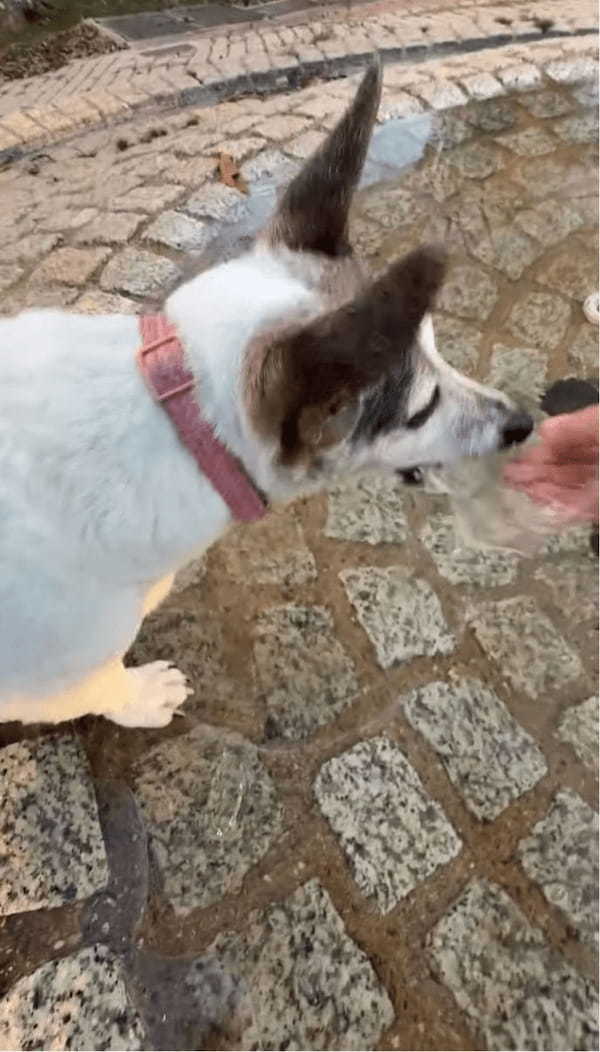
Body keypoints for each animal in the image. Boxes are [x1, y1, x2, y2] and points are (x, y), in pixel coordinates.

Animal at [0, 61, 530, 727]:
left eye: (437, 345)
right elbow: (101, 685)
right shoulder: (57, 671)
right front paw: (141, 697)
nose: (522, 423)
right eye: (421, 410)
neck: (183, 431)